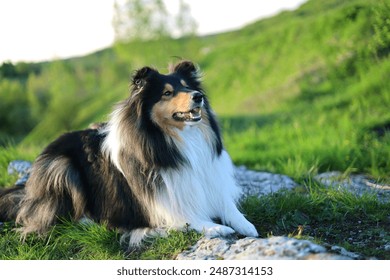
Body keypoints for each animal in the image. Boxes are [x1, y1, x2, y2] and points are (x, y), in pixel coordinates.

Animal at [0, 59, 258, 247]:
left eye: (188, 86)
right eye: (167, 93)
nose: (198, 97)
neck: (177, 140)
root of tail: (28, 191)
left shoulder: (209, 181)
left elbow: (229, 207)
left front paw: (246, 225)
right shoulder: (160, 204)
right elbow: (187, 217)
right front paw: (217, 227)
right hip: (61, 167)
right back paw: (88, 222)